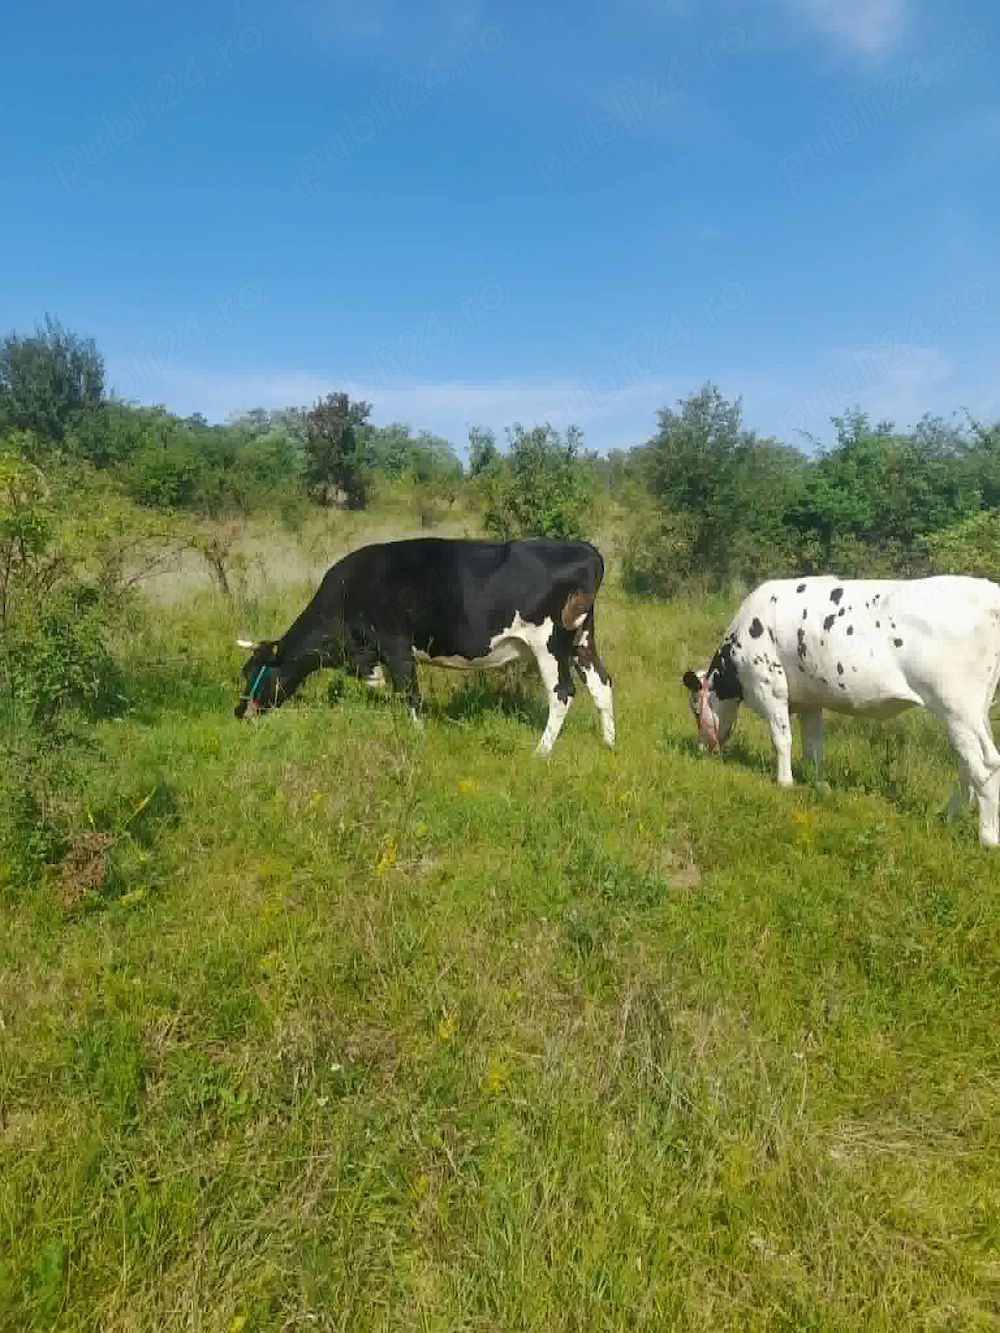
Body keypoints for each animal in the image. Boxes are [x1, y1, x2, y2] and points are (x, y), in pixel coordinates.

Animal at [234, 537, 615, 755]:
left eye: (252, 672)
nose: (239, 712)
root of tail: (585, 549)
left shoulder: (396, 644)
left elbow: (410, 693)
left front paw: (417, 736)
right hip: (581, 639)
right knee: (602, 683)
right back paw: (609, 744)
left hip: (549, 641)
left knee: (562, 692)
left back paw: (541, 752)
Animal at [681, 574, 1000, 846]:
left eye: (695, 709)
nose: (702, 748)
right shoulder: (811, 702)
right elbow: (812, 747)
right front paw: (816, 783)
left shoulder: (769, 687)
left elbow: (782, 739)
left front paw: (785, 782)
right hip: (973, 712)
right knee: (969, 763)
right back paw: (948, 817)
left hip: (956, 707)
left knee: (983, 764)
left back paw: (986, 838)